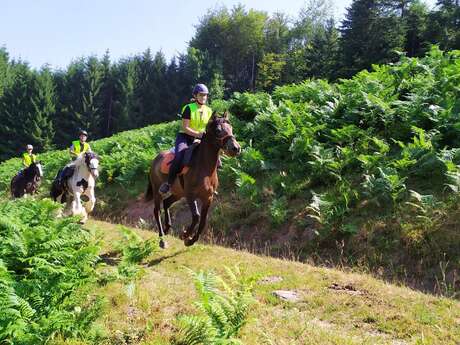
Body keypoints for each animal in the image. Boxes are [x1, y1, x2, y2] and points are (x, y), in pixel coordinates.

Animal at [146, 111, 241, 249]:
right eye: (218, 130)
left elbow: (203, 221)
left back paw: (167, 227)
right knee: (157, 210)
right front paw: (185, 235)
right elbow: (196, 216)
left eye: (231, 128)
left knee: (167, 203)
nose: (236, 148)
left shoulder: (208, 198)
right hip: (158, 190)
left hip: (178, 193)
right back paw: (162, 239)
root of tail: (155, 159)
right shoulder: (191, 195)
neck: (204, 167)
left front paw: (190, 240)